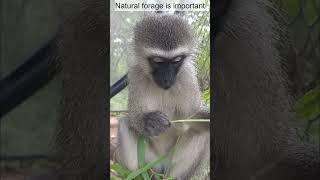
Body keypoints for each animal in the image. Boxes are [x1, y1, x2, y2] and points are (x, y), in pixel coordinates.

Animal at [115, 14, 210, 180]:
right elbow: (134, 116)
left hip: (172, 163)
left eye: (176, 60)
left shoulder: (187, 76)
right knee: (124, 123)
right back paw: (137, 174)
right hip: (148, 161)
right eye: (158, 61)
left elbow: (192, 116)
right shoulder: (135, 73)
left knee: (202, 134)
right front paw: (149, 121)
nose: (167, 80)